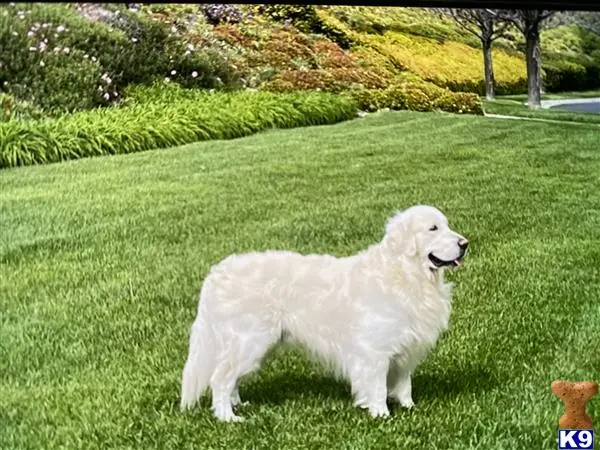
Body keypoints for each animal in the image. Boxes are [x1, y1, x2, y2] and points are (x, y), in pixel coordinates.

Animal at [178, 204, 468, 422]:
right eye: (432, 228)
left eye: (446, 225)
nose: (465, 243)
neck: (406, 275)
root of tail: (216, 273)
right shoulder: (375, 350)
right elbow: (376, 385)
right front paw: (381, 414)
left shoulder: (406, 345)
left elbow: (404, 383)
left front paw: (409, 408)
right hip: (250, 341)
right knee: (220, 378)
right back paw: (228, 417)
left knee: (232, 378)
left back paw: (239, 405)